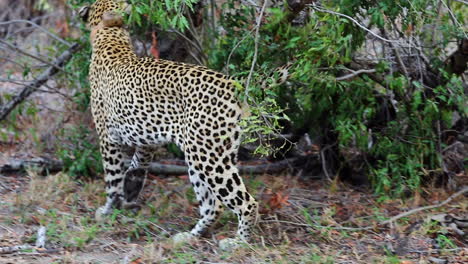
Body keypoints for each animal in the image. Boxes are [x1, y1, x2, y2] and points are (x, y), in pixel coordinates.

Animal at [78, 0, 258, 245]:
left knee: (245, 202)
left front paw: (107, 211)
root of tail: (232, 85)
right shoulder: (145, 138)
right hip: (206, 153)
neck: (111, 36)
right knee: (213, 204)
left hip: (208, 155)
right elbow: (136, 165)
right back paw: (189, 236)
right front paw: (131, 187)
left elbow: (112, 178)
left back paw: (238, 242)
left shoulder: (108, 138)